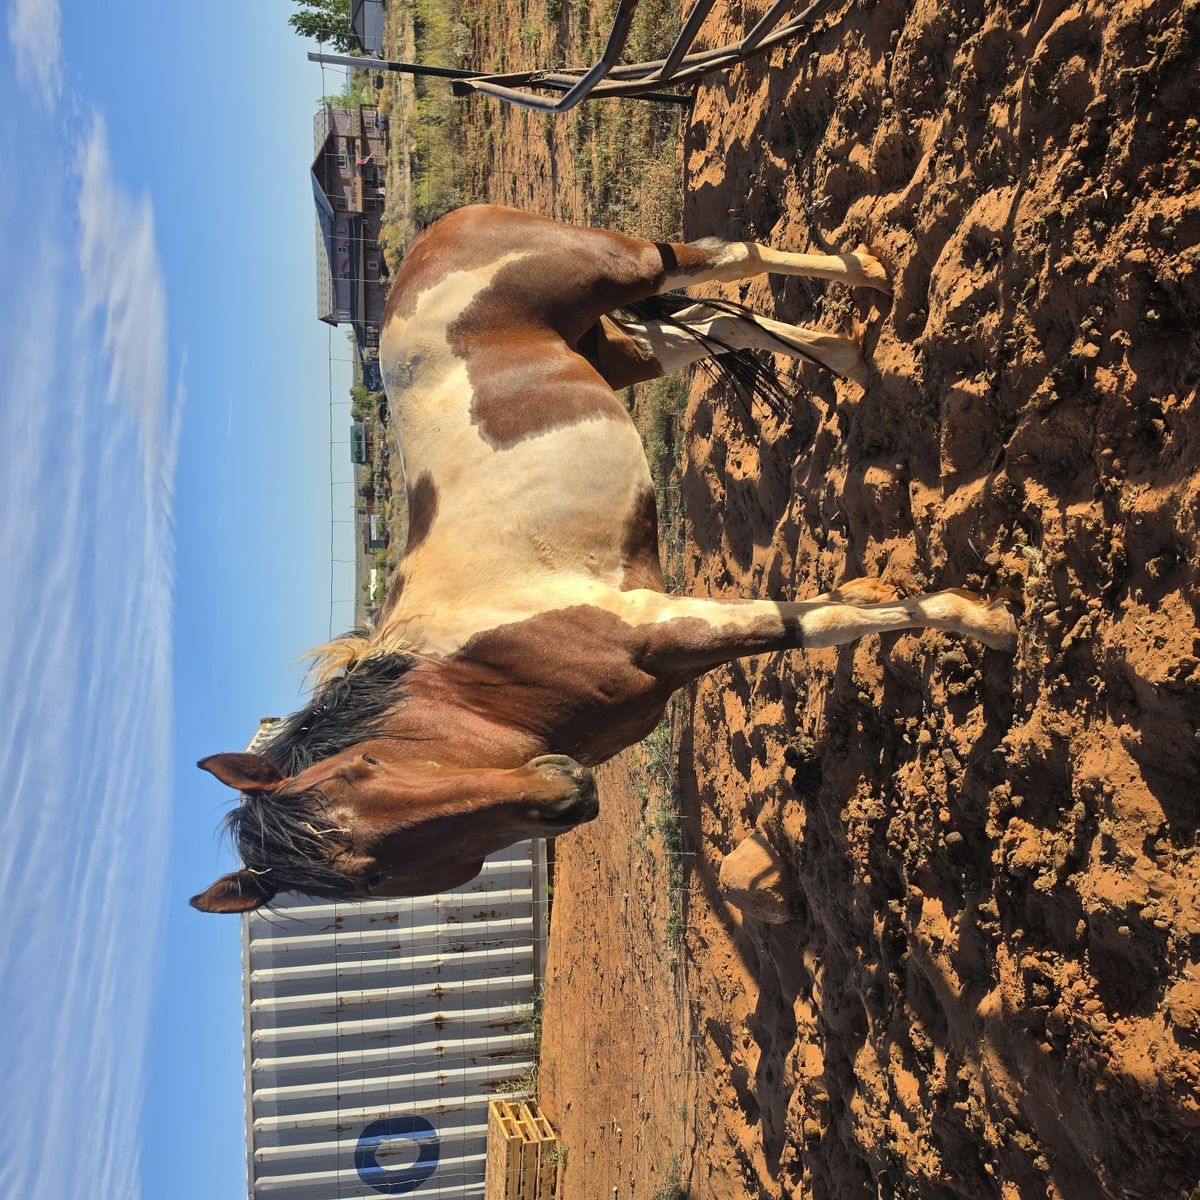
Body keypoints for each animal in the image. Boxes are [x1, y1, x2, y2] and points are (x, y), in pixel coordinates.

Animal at [191, 204, 1017, 913]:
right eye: (374, 877)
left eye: (362, 766)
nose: (565, 795)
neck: (478, 672)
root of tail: (437, 235)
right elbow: (833, 611)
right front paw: (897, 590)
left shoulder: (662, 623)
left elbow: (819, 624)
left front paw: (988, 620)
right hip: (614, 351)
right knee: (711, 322)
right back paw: (853, 359)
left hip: (623, 270)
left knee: (723, 259)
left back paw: (871, 275)